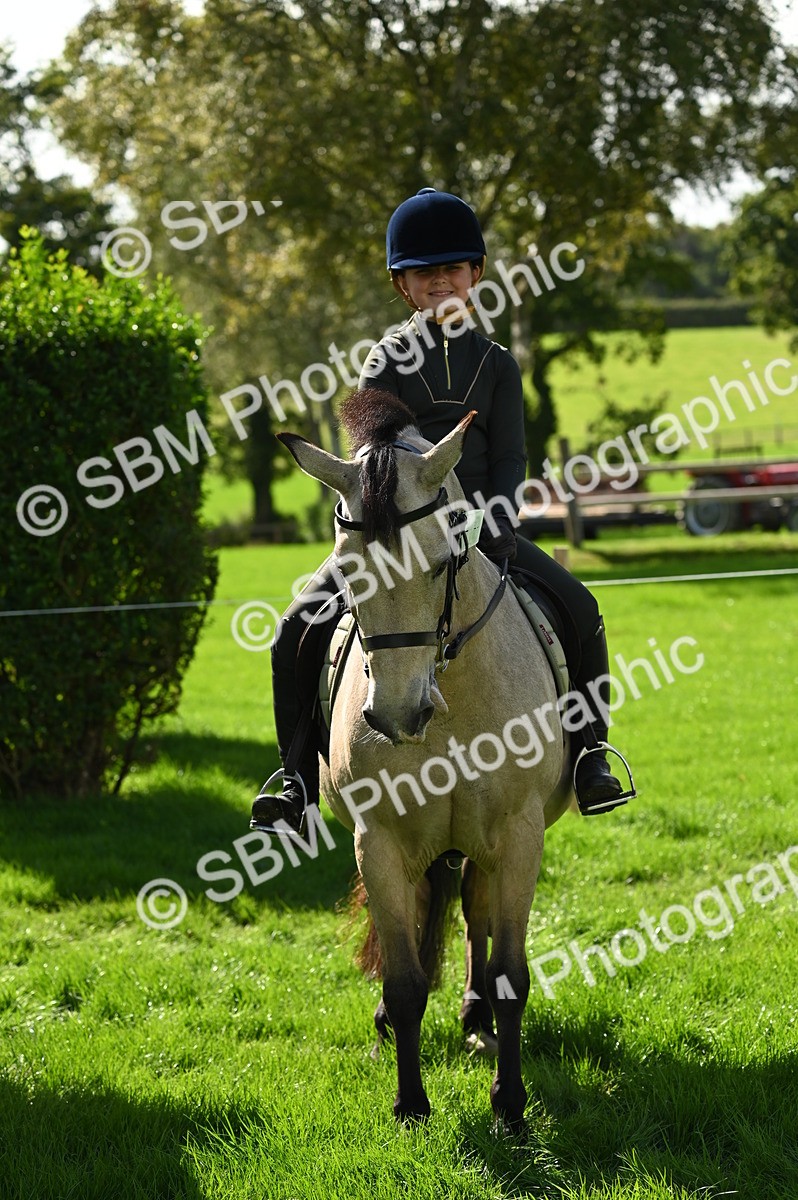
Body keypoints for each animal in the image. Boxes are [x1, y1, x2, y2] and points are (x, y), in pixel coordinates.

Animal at [277, 388, 571, 1131]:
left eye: (444, 559)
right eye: (348, 569)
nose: (397, 716)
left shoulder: (517, 838)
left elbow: (510, 974)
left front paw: (510, 1107)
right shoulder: (378, 841)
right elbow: (407, 980)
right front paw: (410, 1104)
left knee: (472, 908)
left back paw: (475, 1020)